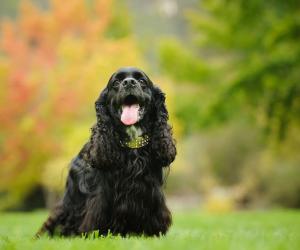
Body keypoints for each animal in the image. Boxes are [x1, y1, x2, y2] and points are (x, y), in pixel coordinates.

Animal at [36, 67, 176, 237]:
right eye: (116, 82)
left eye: (142, 81)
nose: (129, 82)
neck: (131, 141)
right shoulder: (102, 194)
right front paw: (96, 233)